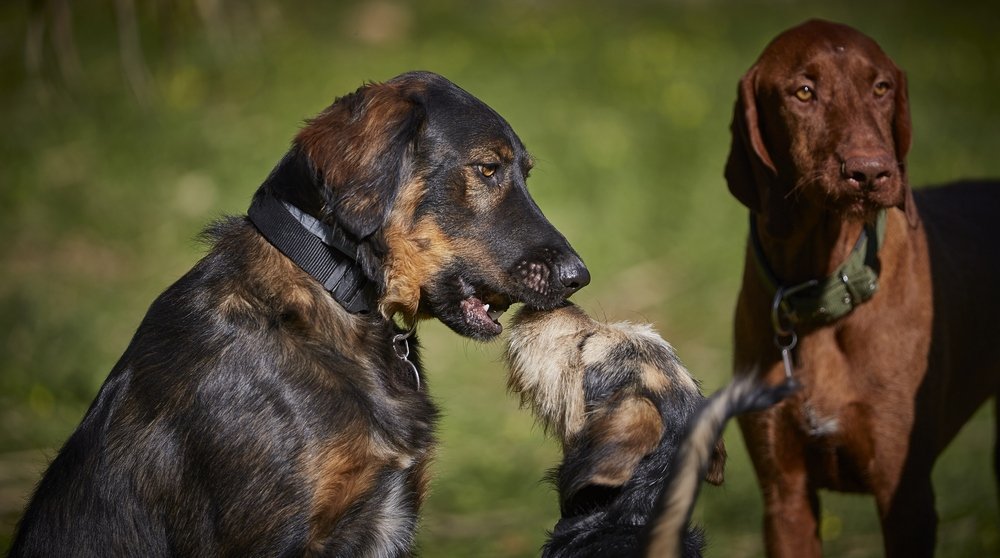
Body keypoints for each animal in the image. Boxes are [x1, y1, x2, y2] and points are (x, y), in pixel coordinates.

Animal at [728, 19, 1000, 556]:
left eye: (881, 88)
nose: (871, 171)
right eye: (803, 91)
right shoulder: (785, 495)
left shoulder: (906, 494)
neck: (823, 294)